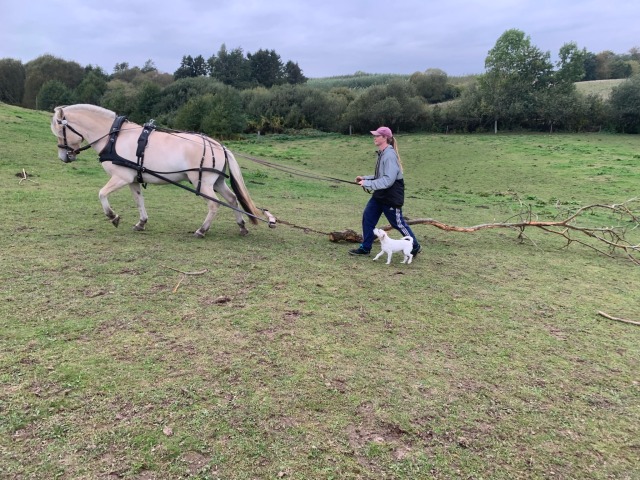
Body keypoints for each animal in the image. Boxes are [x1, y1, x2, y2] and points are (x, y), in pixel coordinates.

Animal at [49, 104, 264, 237]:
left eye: (60, 131)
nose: (64, 157)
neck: (114, 137)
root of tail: (219, 146)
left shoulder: (121, 177)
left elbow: (101, 194)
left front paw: (113, 217)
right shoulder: (133, 179)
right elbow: (139, 201)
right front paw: (141, 222)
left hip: (202, 183)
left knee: (214, 204)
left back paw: (202, 230)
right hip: (217, 182)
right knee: (232, 200)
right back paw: (242, 227)